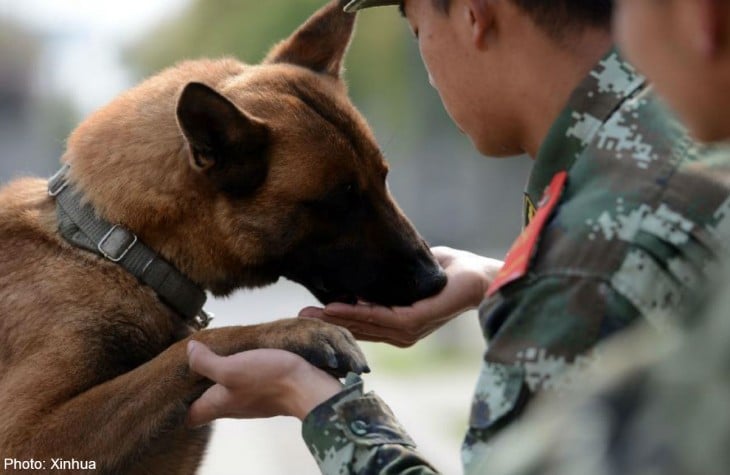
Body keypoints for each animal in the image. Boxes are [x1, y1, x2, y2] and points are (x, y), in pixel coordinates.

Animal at [0, 1, 444, 474]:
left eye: (383, 179)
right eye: (339, 201)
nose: (436, 280)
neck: (120, 250)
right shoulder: (26, 441)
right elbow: (195, 344)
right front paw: (293, 331)